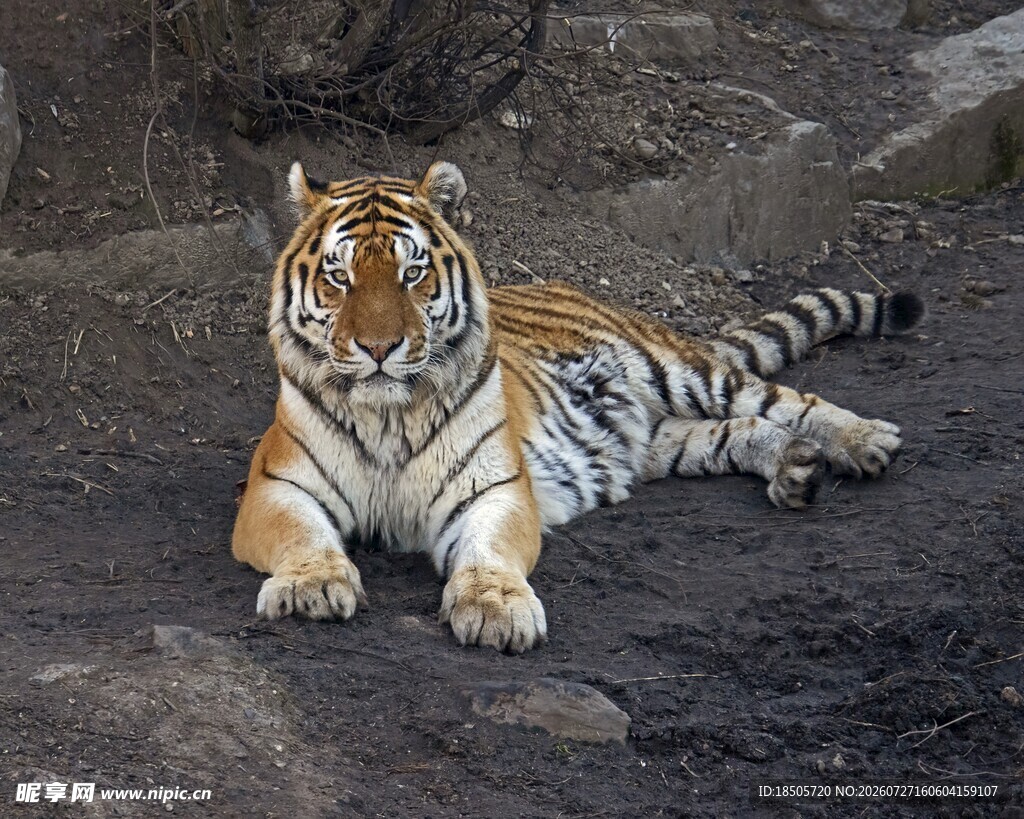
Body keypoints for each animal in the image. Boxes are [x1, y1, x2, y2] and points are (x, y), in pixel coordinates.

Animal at [232, 160, 925, 653]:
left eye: (412, 274)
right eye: (339, 277)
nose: (378, 348)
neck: (388, 416)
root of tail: (573, 286)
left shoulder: (496, 489)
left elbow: (488, 551)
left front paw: (496, 609)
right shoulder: (276, 486)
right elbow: (303, 533)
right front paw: (311, 586)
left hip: (680, 370)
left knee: (786, 399)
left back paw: (864, 441)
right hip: (663, 442)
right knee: (744, 428)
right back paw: (795, 470)